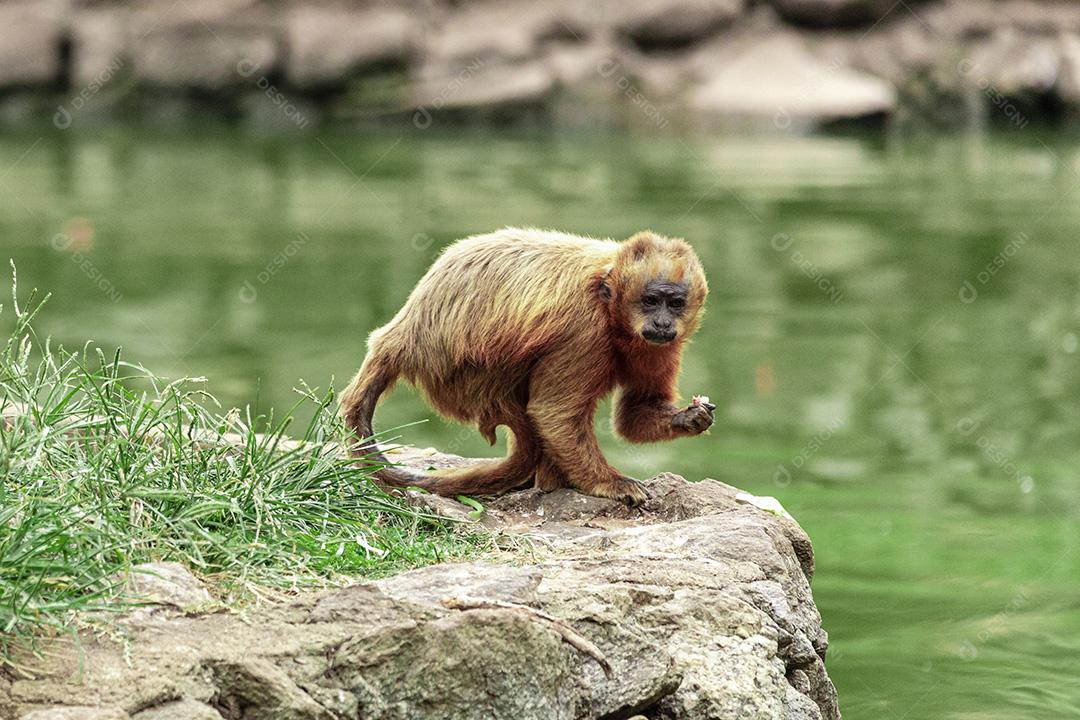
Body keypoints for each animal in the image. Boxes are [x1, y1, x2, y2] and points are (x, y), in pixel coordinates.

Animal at [339, 227, 713, 506]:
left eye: (675, 303)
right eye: (650, 301)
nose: (663, 323)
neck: (609, 306)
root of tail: (401, 336)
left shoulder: (663, 345)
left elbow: (633, 416)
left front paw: (689, 418)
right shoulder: (584, 331)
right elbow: (553, 412)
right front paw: (608, 484)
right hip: (464, 377)